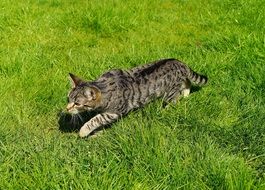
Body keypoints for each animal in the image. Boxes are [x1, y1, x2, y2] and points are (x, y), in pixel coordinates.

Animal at [65, 58, 206, 137]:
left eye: (77, 103)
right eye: (68, 99)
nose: (66, 108)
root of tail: (180, 63)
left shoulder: (115, 112)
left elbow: (95, 120)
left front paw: (83, 131)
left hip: (170, 94)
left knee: (175, 98)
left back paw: (166, 109)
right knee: (187, 82)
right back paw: (186, 94)